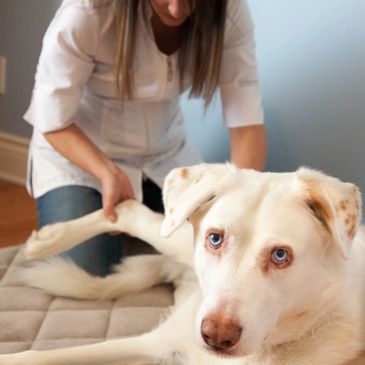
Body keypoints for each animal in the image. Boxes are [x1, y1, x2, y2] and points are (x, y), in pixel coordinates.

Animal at [0, 164, 364, 362]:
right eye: (215, 238)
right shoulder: (153, 344)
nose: (216, 337)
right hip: (177, 230)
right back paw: (50, 238)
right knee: (132, 211)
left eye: (280, 255)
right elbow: (36, 356)